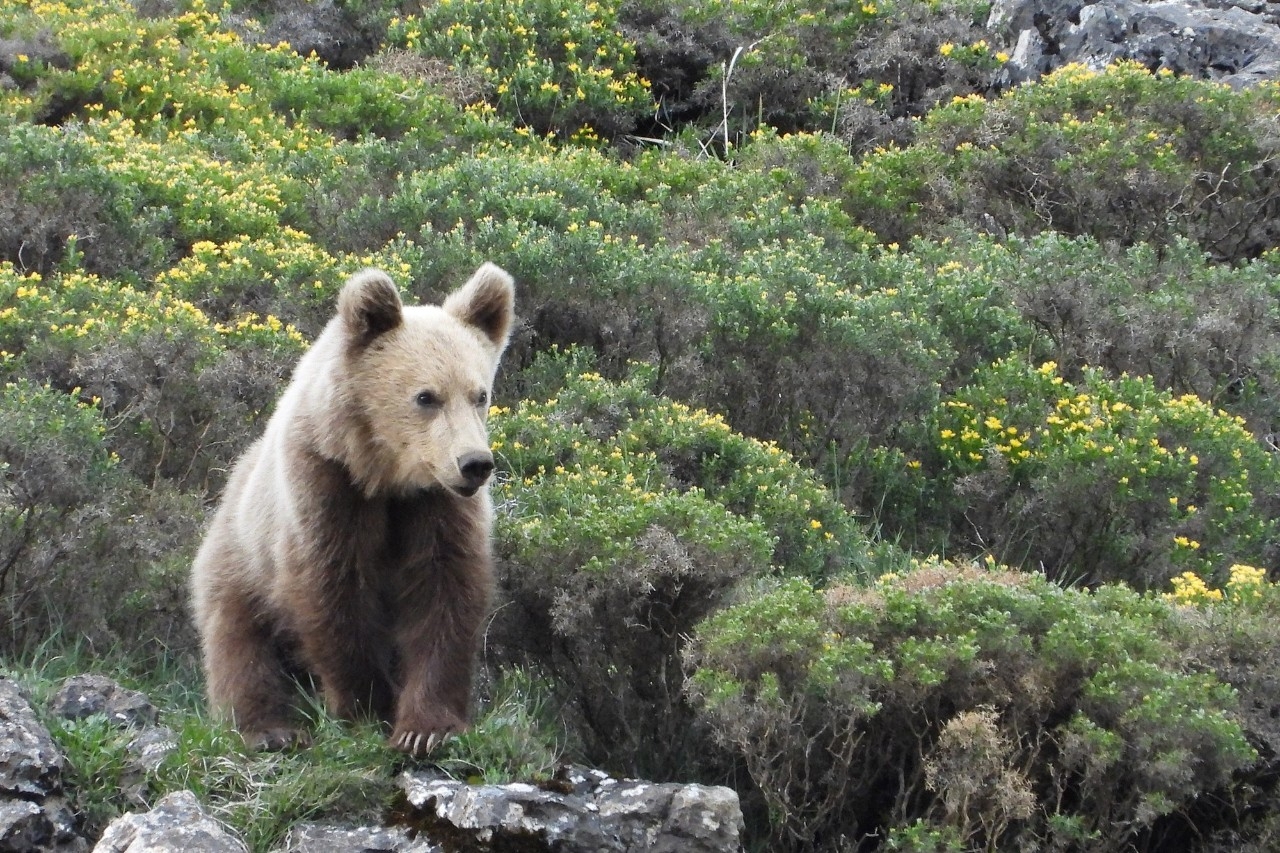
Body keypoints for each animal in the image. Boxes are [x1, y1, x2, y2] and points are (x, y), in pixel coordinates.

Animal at [190, 263, 515, 755]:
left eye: (480, 394)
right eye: (426, 396)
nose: (474, 464)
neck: (385, 477)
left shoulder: (435, 507)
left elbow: (444, 592)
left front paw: (425, 728)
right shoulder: (326, 488)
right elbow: (333, 592)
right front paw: (366, 707)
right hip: (239, 562)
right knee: (239, 646)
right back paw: (269, 729)